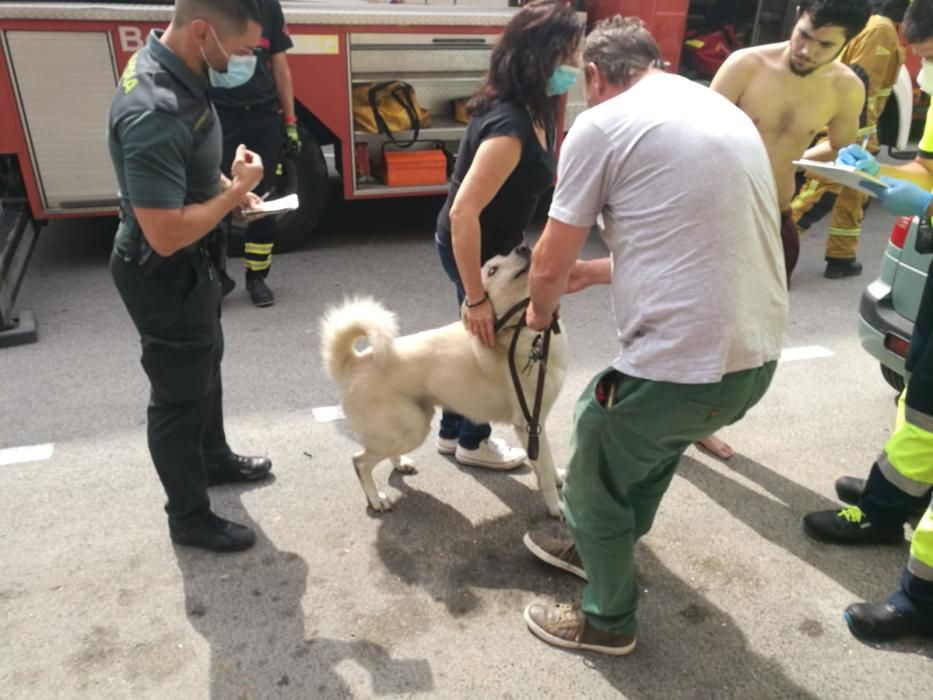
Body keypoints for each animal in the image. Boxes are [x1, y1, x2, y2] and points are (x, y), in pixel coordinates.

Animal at [320, 246, 564, 520]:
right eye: (492, 270)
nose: (523, 247)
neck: (519, 330)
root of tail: (354, 361)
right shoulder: (529, 423)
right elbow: (544, 471)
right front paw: (555, 506)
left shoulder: (535, 427)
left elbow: (546, 463)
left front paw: (557, 479)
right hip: (411, 430)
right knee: (359, 461)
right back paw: (376, 500)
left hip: (406, 426)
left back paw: (400, 463)